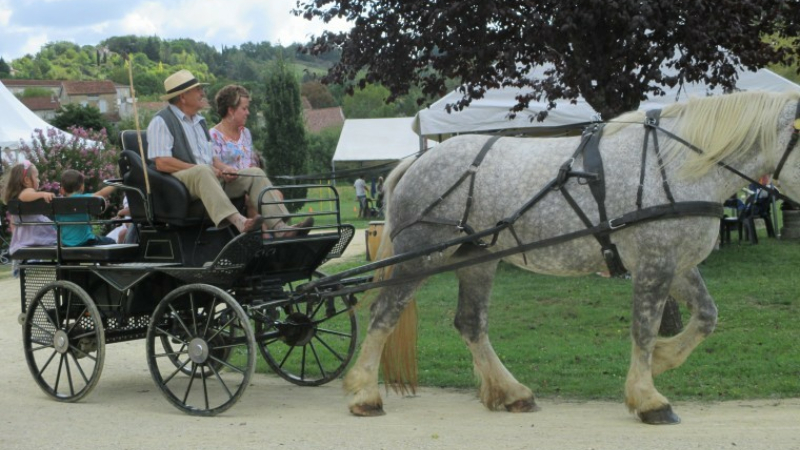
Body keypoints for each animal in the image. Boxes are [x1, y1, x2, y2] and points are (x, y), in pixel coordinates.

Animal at [343, 90, 800, 424]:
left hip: (478, 258)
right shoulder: (654, 262)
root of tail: (418, 159)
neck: (672, 165)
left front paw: (663, 359)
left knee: (470, 324)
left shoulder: (679, 263)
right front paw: (648, 397)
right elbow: (644, 329)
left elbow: (706, 317)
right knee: (384, 314)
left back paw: (512, 393)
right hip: (420, 255)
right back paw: (364, 392)